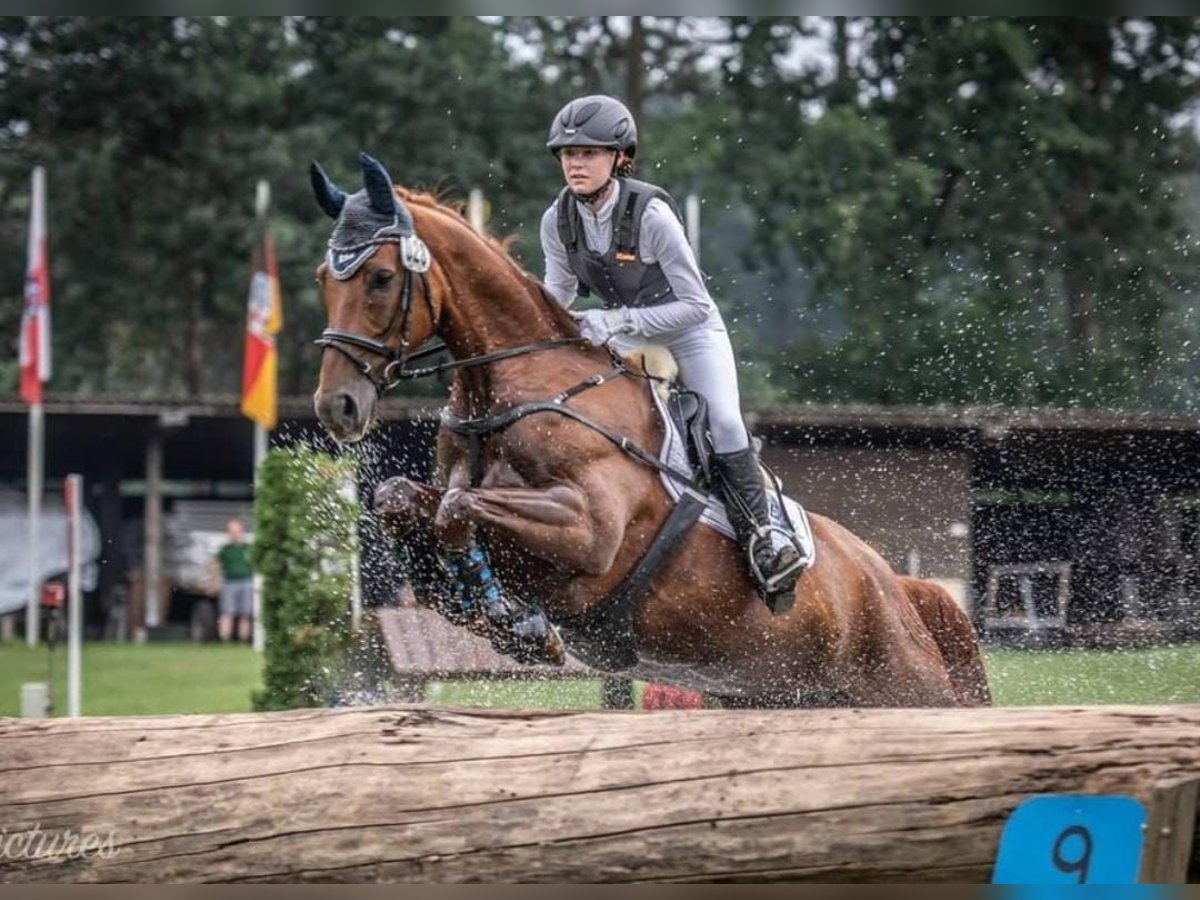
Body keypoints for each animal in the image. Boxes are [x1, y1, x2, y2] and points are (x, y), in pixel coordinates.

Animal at [312, 154, 993, 710]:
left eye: (379, 278)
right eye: (324, 277)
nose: (336, 406)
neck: (509, 391)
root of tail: (897, 585)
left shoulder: (588, 531)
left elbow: (458, 507)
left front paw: (510, 618)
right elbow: (403, 496)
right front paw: (476, 603)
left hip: (904, 686)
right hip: (776, 694)